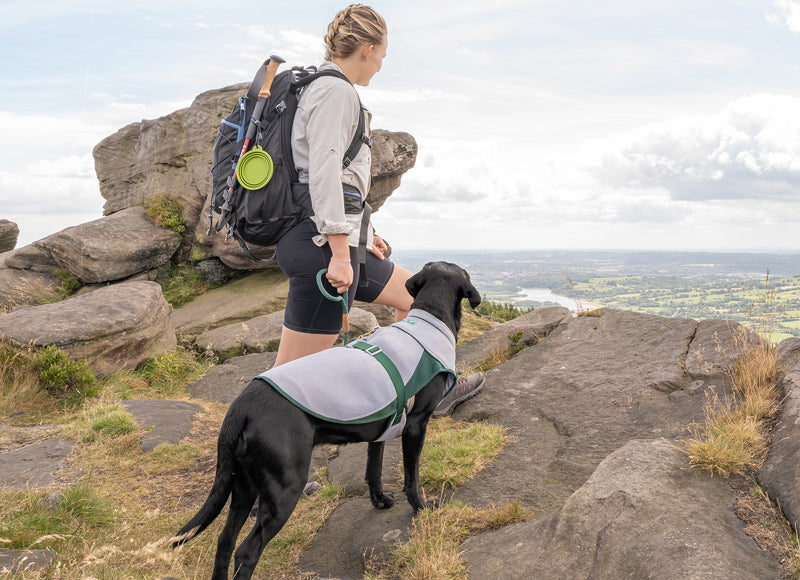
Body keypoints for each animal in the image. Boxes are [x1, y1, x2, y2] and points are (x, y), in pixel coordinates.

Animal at [174, 264, 482, 580]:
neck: (430, 318)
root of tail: (242, 405)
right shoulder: (416, 426)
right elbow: (412, 476)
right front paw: (421, 507)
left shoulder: (382, 430)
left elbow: (374, 471)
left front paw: (379, 501)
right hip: (286, 488)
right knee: (246, 551)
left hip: (243, 485)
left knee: (224, 542)